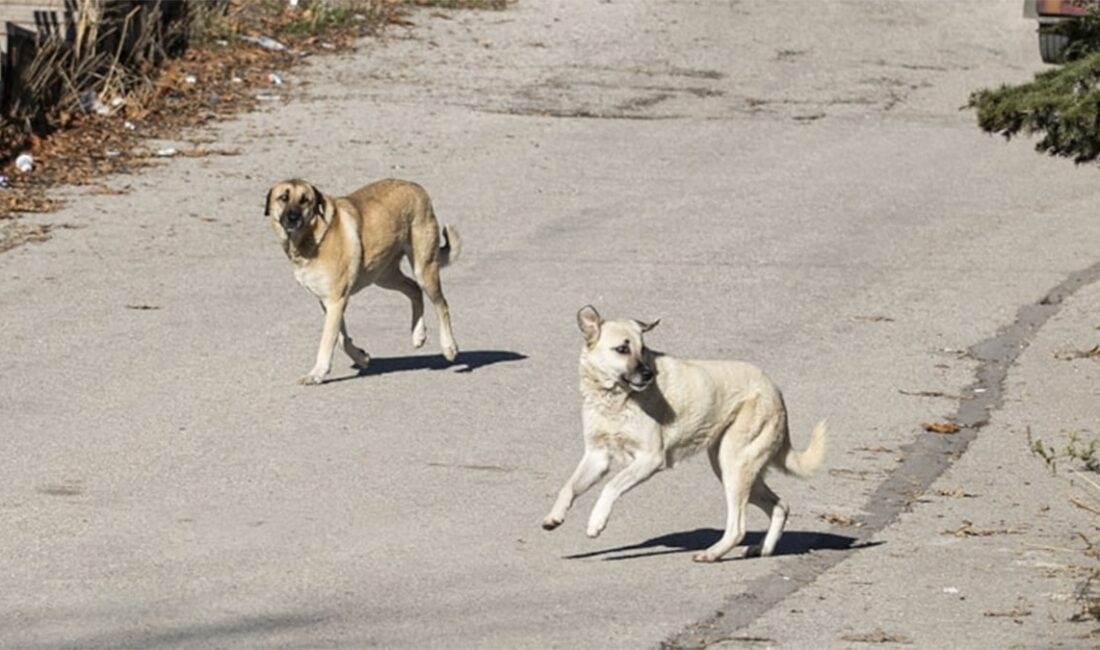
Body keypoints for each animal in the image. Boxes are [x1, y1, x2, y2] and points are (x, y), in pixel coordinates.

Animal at [268, 178, 462, 387]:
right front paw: (361, 358)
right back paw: (418, 334)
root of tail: (415, 186)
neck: (312, 237)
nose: (293, 218)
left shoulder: (336, 300)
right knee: (414, 289)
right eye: (283, 198)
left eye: (305, 200)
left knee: (441, 304)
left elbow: (328, 340)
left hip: (423, 269)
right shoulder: (329, 303)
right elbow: (341, 339)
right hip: (384, 276)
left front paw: (318, 373)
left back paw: (449, 347)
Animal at [541, 307, 827, 563]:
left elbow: (611, 486)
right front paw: (555, 516)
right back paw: (763, 549)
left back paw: (713, 553)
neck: (614, 398)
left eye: (642, 349)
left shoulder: (650, 459)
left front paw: (596, 521)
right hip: (732, 467)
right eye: (622, 349)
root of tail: (775, 391)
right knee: (780, 506)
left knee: (738, 527)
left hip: (734, 465)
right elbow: (569, 487)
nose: (648, 374)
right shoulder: (597, 457)